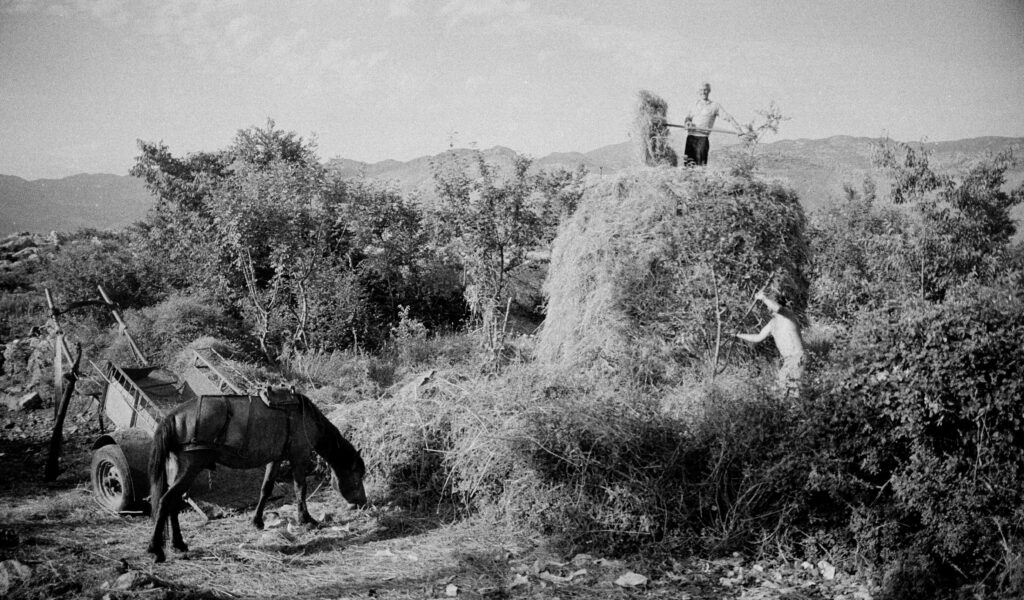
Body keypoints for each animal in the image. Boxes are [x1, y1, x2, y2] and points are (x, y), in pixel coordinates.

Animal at [146, 387, 366, 561]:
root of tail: (174, 415)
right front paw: (306, 518)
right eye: (357, 477)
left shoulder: (275, 459)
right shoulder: (299, 457)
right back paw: (156, 549)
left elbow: (266, 488)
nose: (362, 503)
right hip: (190, 469)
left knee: (173, 504)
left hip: (179, 471)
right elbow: (300, 488)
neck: (304, 416)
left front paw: (257, 521)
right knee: (166, 501)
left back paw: (178, 544)